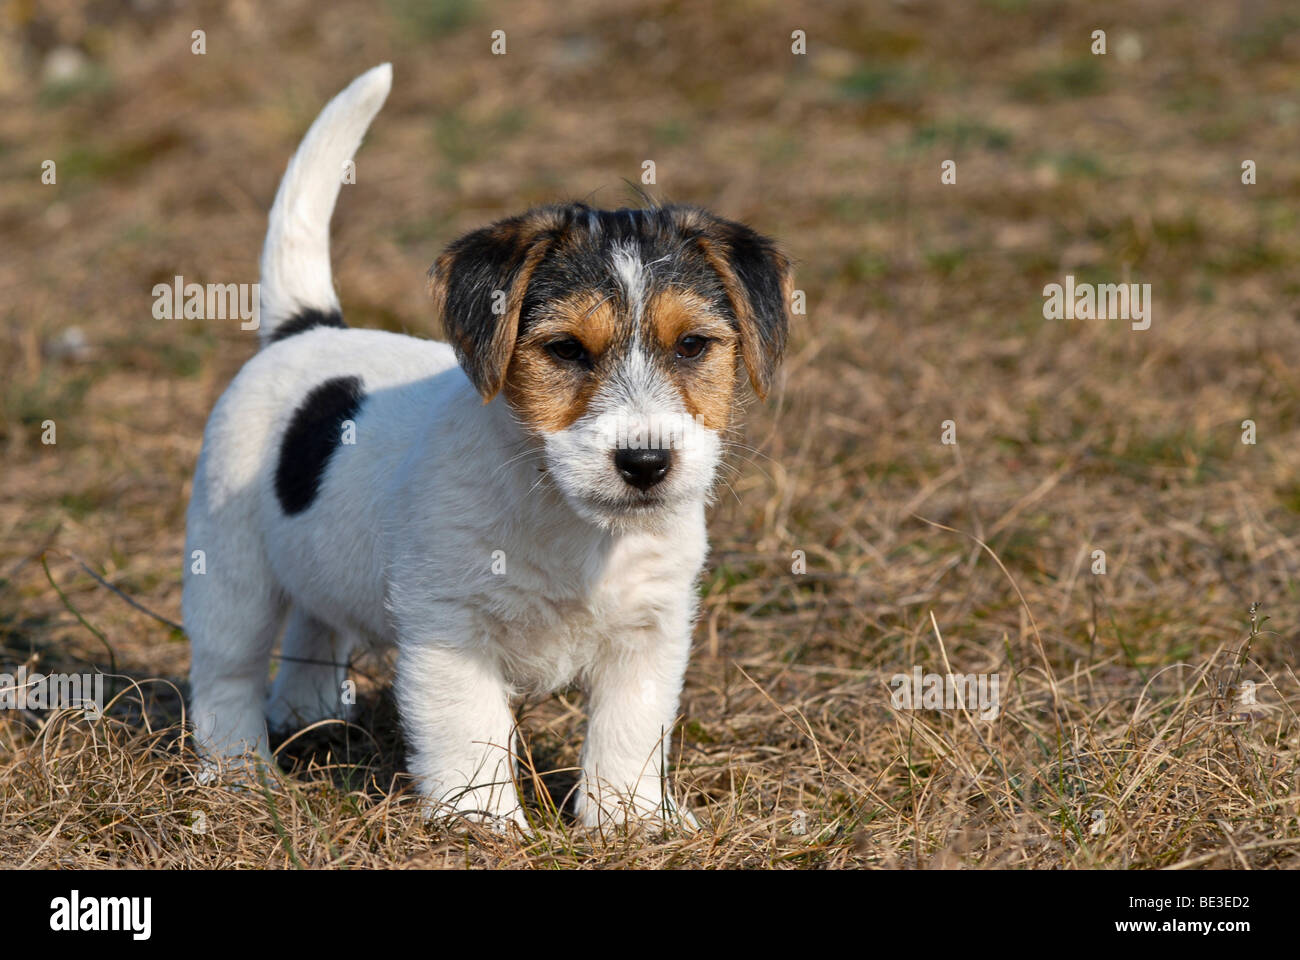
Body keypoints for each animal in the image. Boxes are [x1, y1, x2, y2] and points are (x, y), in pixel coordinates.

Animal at [183, 65, 790, 832]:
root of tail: (307, 329)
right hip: (230, 571)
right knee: (226, 674)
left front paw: (631, 822)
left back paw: (308, 713)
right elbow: (470, 732)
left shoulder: (649, 630)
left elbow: (628, 732)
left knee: (316, 625)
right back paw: (240, 774)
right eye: (565, 350)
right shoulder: (451, 629)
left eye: (692, 346)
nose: (646, 464)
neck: (568, 518)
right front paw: (486, 826)